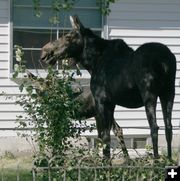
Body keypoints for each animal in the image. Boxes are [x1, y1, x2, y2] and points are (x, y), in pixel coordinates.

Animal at [40, 15, 176, 158]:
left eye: (68, 36)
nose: (45, 52)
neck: (93, 63)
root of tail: (165, 61)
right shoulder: (111, 103)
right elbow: (108, 135)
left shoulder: (102, 101)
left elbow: (104, 137)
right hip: (169, 92)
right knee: (168, 127)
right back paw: (169, 159)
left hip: (149, 94)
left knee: (154, 127)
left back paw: (156, 160)